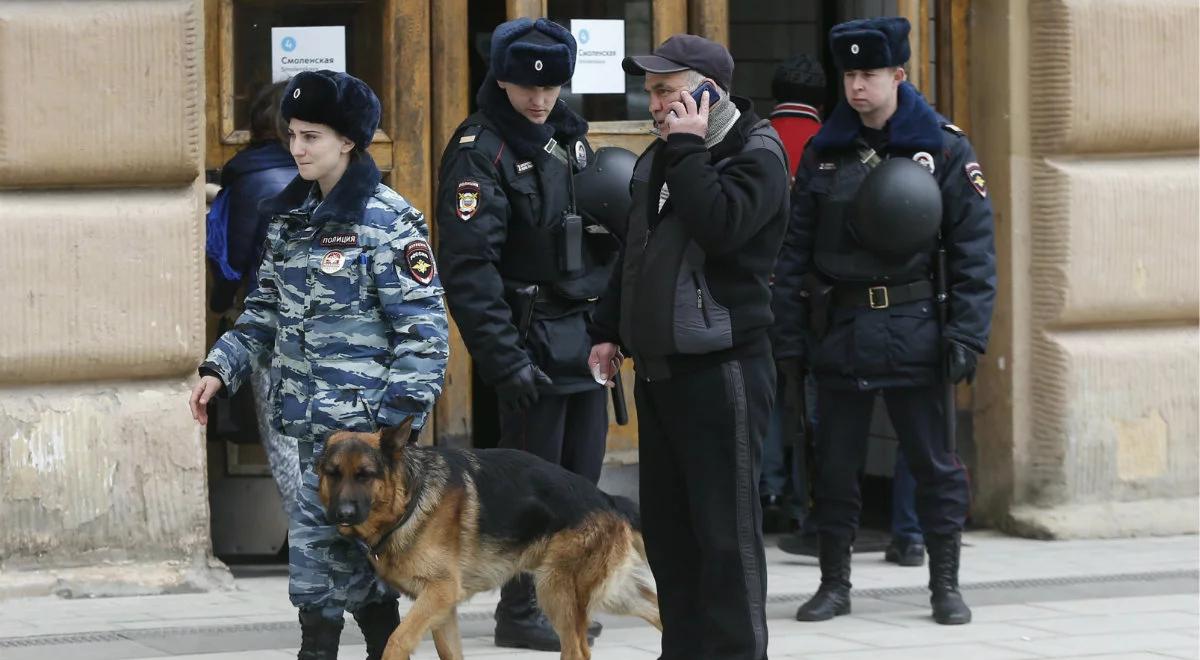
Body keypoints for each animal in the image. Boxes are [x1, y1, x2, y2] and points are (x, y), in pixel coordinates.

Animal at [314, 422, 662, 657]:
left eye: (365, 475)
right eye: (333, 474)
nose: (342, 513)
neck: (410, 499)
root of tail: (607, 498)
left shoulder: (439, 593)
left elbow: (397, 639)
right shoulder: (442, 607)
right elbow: (450, 653)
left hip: (557, 591)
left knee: (577, 650)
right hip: (610, 593)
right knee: (657, 609)